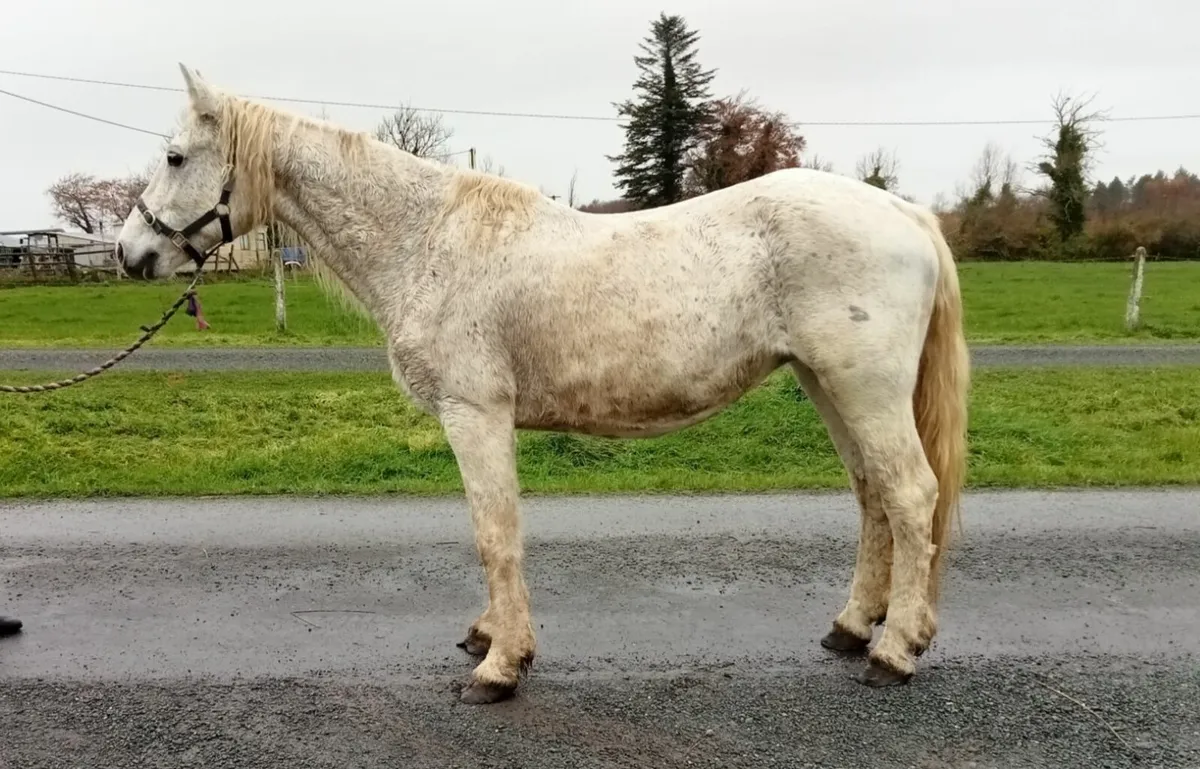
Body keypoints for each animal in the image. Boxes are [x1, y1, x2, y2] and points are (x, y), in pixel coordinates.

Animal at [115, 64, 970, 705]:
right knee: (873, 496)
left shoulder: (475, 414)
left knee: (909, 495)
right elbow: (490, 532)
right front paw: (491, 638)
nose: (129, 254)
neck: (425, 239)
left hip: (863, 389)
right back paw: (852, 627)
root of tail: (906, 214)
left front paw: (500, 665)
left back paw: (895, 650)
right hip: (829, 385)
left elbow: (496, 533)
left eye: (175, 157)